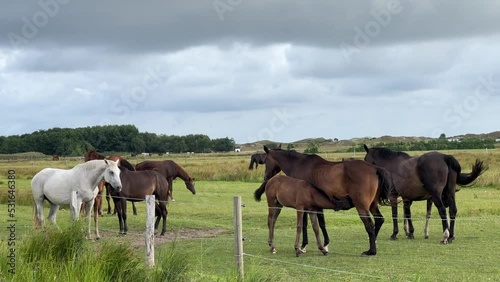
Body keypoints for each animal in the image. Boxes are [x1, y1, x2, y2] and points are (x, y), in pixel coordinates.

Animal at [262, 145, 394, 256]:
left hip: (361, 206)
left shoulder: (304, 206)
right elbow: (321, 223)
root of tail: (374, 168)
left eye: (265, 160)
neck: (299, 164)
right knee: (379, 220)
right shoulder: (315, 205)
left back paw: (371, 251)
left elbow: (306, 224)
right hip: (372, 205)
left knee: (369, 225)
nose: (265, 177)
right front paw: (325, 245)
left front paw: (304, 246)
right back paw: (374, 244)